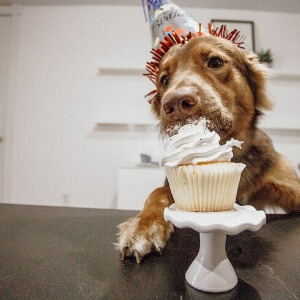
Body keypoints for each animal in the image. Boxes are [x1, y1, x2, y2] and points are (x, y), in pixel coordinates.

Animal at [115, 34, 300, 262]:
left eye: (215, 62)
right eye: (164, 80)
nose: (175, 103)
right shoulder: (172, 183)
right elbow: (157, 193)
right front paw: (143, 225)